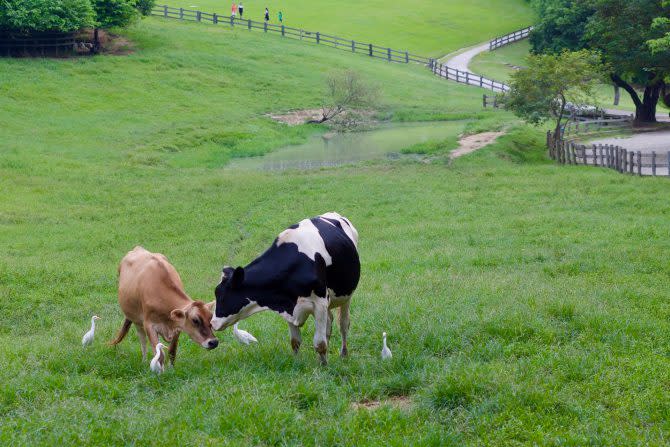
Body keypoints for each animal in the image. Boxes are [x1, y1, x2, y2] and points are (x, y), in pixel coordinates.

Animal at [214, 213, 362, 364]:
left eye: (220, 295)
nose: (212, 322)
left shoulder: (319, 303)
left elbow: (320, 344)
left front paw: (323, 366)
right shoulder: (287, 306)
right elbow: (295, 341)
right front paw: (297, 362)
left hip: (346, 296)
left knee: (343, 324)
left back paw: (343, 354)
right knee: (329, 324)